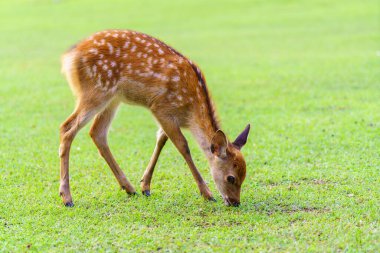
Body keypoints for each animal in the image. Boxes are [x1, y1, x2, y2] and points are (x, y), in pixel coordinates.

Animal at [59, 29, 251, 208]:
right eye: (231, 178)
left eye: (245, 175)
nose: (235, 202)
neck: (190, 113)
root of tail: (69, 56)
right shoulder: (160, 107)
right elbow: (183, 146)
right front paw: (207, 193)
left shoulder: (168, 116)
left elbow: (161, 140)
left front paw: (145, 186)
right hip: (95, 91)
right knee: (67, 127)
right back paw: (67, 197)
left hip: (113, 99)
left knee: (97, 132)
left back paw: (129, 188)